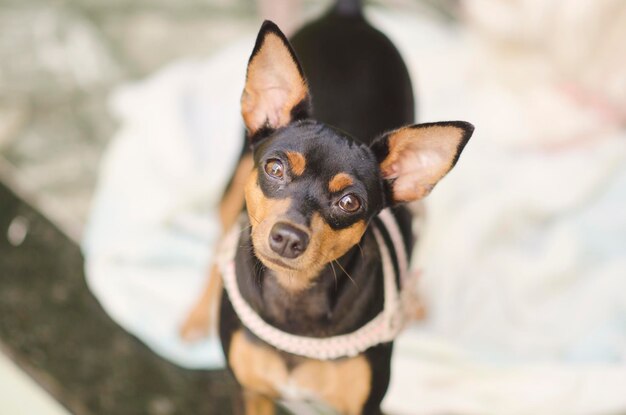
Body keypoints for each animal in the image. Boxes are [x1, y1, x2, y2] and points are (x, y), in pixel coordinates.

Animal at [178, 1, 470, 414]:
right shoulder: (253, 394)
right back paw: (197, 315)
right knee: (219, 240)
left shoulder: (365, 407)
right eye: (275, 168)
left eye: (349, 202)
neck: (294, 296)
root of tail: (348, 14)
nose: (288, 238)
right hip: (234, 178)